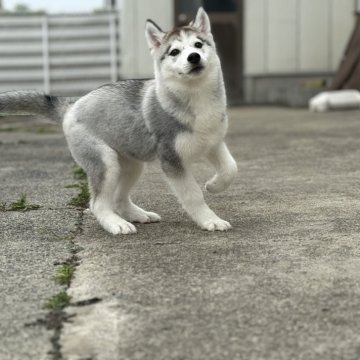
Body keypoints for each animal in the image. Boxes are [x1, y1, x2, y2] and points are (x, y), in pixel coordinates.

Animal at [0, 8, 238, 235]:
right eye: (174, 52)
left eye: (198, 44)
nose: (194, 57)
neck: (196, 97)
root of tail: (72, 104)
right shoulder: (172, 160)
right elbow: (193, 195)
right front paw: (210, 220)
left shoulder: (213, 143)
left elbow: (231, 168)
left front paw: (214, 186)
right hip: (105, 162)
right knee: (98, 203)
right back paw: (116, 224)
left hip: (131, 164)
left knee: (118, 198)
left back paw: (138, 215)